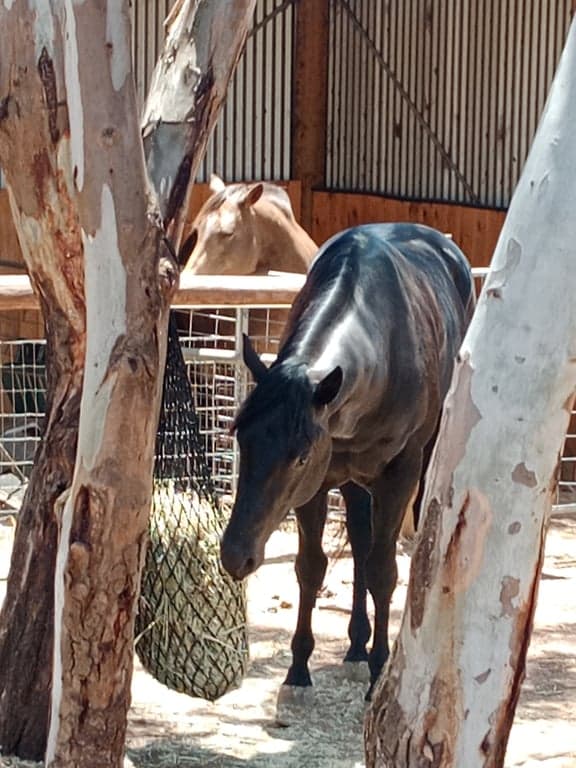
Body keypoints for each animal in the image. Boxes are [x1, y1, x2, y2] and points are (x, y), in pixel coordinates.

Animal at [220, 222, 475, 710]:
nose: (235, 555)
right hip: (353, 479)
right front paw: (298, 673)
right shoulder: (317, 482)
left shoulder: (396, 474)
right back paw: (356, 646)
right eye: (241, 438)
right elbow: (311, 566)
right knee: (359, 542)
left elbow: (383, 571)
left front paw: (380, 675)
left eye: (298, 456)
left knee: (374, 553)